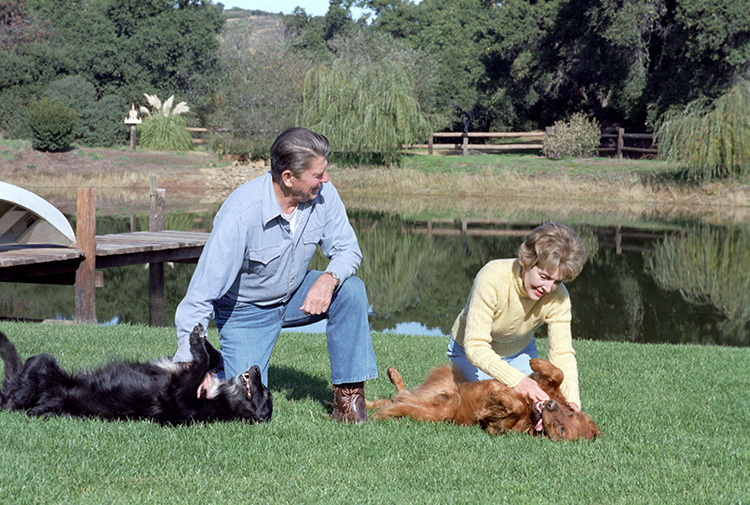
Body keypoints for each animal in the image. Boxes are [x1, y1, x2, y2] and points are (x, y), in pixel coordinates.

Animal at [0, 322, 274, 426]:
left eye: (264, 394)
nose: (256, 368)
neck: (221, 397)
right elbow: (213, 358)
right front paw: (202, 339)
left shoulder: (178, 399)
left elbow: (202, 363)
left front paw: (197, 341)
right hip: (45, 364)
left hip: (37, 382)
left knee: (13, 396)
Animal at [368, 356, 604, 440]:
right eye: (571, 413)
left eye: (562, 431)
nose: (550, 405)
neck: (534, 413)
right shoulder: (545, 388)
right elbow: (558, 373)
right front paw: (537, 363)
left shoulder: (497, 427)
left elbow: (510, 410)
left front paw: (499, 396)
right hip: (446, 383)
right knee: (398, 395)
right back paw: (392, 376)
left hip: (437, 410)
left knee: (397, 403)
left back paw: (379, 413)